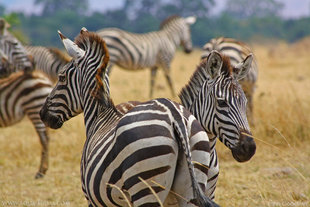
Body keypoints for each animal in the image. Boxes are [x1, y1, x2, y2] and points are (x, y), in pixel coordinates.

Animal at [40, 29, 219, 207]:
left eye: (61, 77)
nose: (42, 114)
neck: (101, 116)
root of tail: (174, 115)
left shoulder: (93, 200)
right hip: (191, 183)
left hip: (145, 184)